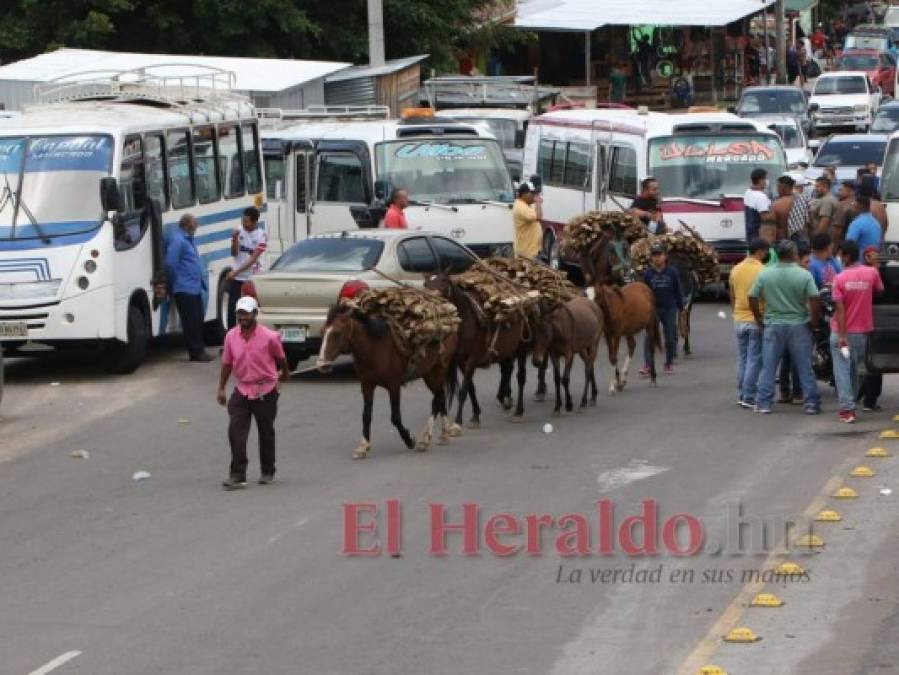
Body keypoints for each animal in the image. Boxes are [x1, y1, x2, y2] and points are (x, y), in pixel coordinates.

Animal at [316, 304, 458, 460]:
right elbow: (366, 416)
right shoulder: (367, 386)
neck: (374, 348)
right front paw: (364, 446)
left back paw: (425, 439)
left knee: (437, 399)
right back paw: (443, 434)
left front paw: (409, 440)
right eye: (322, 331)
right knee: (441, 397)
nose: (321, 364)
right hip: (430, 373)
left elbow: (395, 417)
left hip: (437, 370)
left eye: (337, 333)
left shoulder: (393, 386)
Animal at [426, 274, 532, 428]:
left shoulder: (472, 359)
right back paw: (505, 399)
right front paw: (476, 415)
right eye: (426, 284)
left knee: (521, 377)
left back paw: (518, 411)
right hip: (507, 350)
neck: (468, 322)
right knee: (507, 370)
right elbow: (471, 388)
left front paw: (458, 420)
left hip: (522, 348)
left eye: (444, 285)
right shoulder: (461, 362)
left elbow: (464, 389)